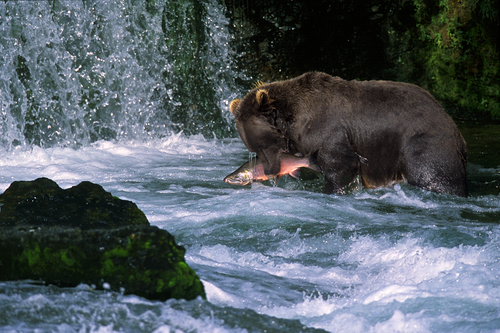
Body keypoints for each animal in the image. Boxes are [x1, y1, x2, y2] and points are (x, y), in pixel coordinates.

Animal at [230, 71, 468, 196]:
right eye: (253, 148)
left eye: (264, 145)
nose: (270, 171)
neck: (295, 122)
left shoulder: (329, 131)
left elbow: (340, 165)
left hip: (423, 145)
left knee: (432, 173)